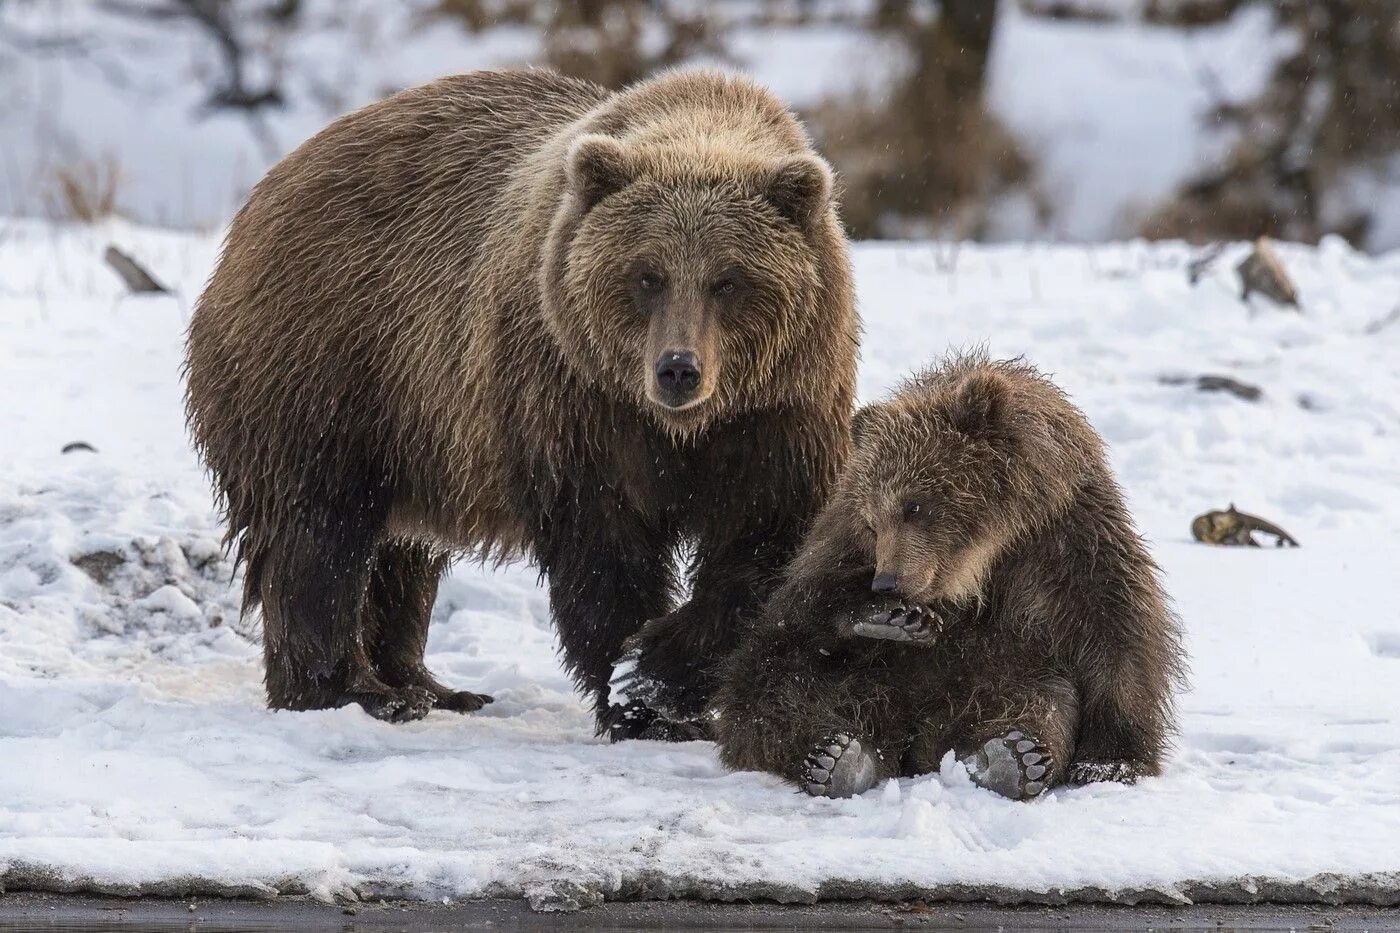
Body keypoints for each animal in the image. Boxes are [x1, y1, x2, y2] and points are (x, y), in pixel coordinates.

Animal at [186, 67, 856, 734]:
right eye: (647, 275)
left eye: (729, 280)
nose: (677, 370)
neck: (681, 429)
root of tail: (269, 187)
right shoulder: (575, 401)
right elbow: (604, 554)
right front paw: (634, 691)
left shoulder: (778, 413)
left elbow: (766, 542)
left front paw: (657, 672)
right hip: (332, 368)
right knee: (318, 532)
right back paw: (354, 690)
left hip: (419, 433)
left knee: (402, 557)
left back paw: (429, 683)